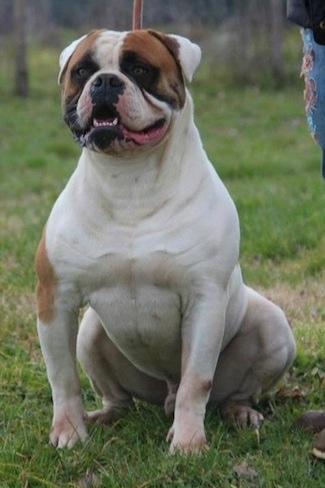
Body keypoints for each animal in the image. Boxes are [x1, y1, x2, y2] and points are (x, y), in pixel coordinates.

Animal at [35, 28, 296, 452]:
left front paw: (188, 444)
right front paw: (69, 432)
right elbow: (63, 378)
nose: (105, 82)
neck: (130, 180)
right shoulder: (55, 299)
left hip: (273, 327)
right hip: (90, 332)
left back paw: (240, 412)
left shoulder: (204, 300)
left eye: (140, 69)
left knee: (228, 390)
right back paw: (104, 416)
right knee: (118, 396)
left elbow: (196, 381)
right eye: (82, 71)